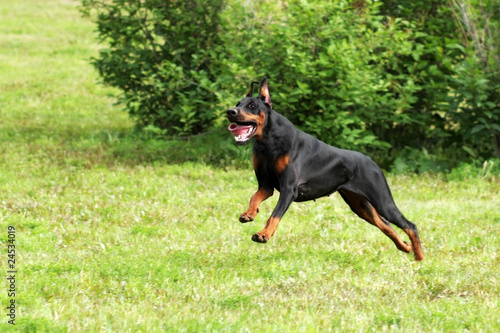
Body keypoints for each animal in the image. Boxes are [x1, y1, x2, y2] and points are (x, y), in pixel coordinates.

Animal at [229, 77, 424, 260]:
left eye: (252, 105)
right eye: (238, 104)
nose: (230, 112)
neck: (269, 142)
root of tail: (371, 161)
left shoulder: (289, 189)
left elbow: (275, 215)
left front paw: (264, 234)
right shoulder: (266, 185)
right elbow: (254, 197)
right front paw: (249, 214)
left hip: (382, 201)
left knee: (410, 225)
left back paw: (419, 257)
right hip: (361, 207)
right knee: (388, 226)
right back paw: (406, 247)